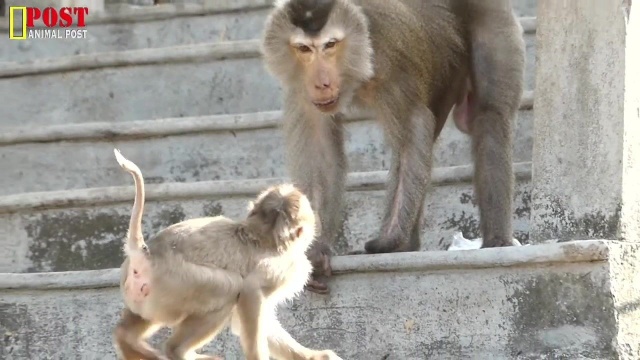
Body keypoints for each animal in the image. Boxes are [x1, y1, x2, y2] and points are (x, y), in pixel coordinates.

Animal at [111, 148, 340, 358]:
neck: (258, 234)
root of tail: (145, 255)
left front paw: (314, 357)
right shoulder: (288, 266)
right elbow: (249, 292)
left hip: (145, 297)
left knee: (125, 331)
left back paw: (129, 340)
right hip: (176, 284)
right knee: (229, 289)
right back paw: (176, 351)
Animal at [262, 0, 524, 292]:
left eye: (330, 45)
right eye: (304, 49)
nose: (322, 83)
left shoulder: (392, 63)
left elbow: (413, 127)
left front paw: (390, 240)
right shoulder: (302, 89)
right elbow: (320, 151)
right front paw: (315, 247)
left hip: (489, 14)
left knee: (488, 116)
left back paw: (496, 242)